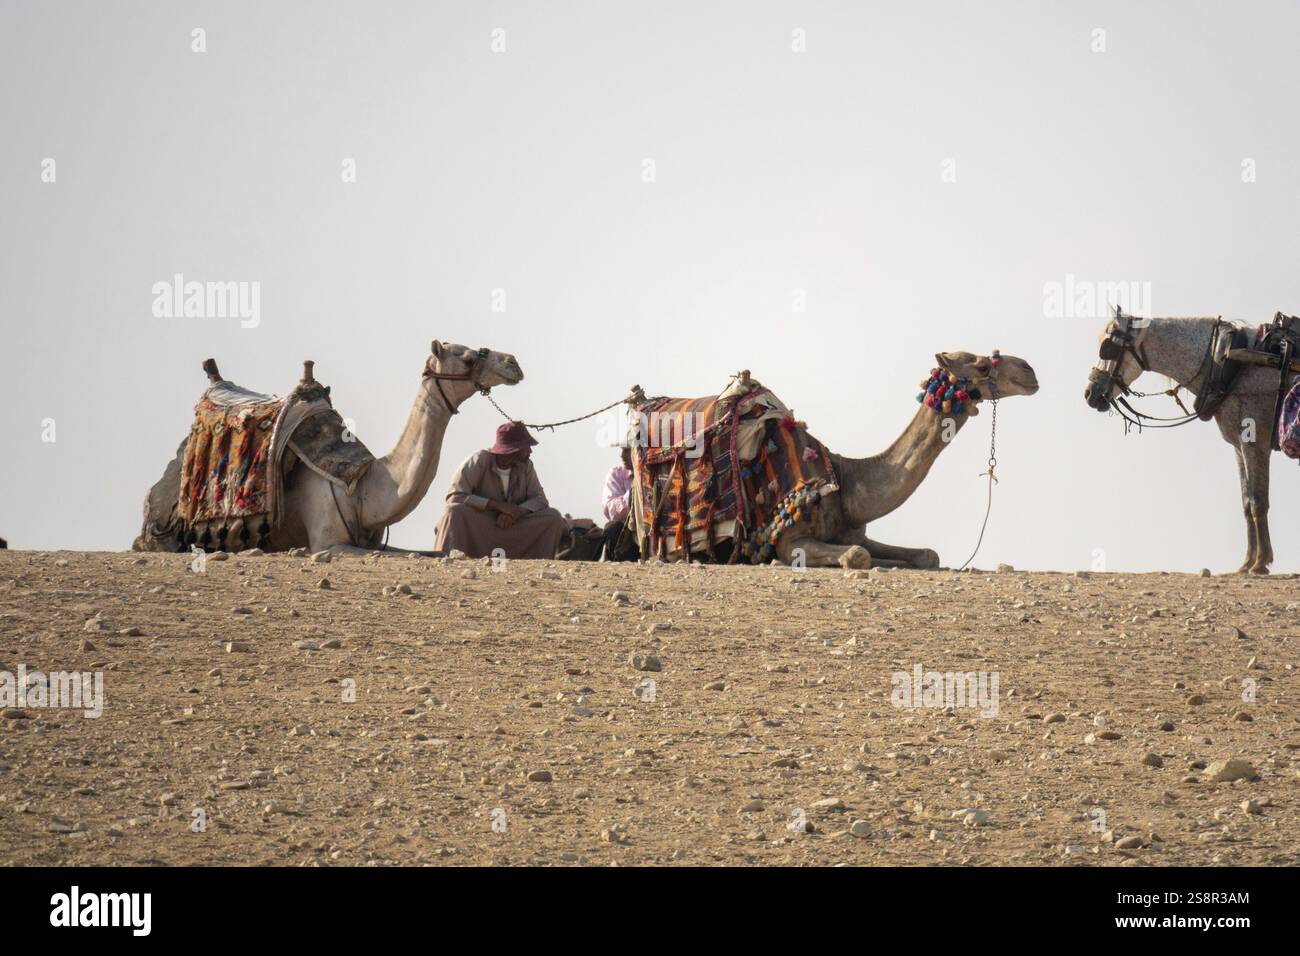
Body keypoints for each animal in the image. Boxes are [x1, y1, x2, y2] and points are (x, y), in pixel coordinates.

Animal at [133, 340, 523, 554]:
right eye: (468, 357)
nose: (513, 363)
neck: (363, 487)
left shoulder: (372, 541)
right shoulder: (328, 542)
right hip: (163, 529)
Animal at [1084, 311, 1297, 574]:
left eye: (1109, 347)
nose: (1090, 393)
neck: (1227, 360)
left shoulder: (1255, 442)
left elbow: (1258, 501)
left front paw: (1261, 562)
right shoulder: (1239, 446)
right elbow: (1247, 503)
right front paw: (1247, 562)